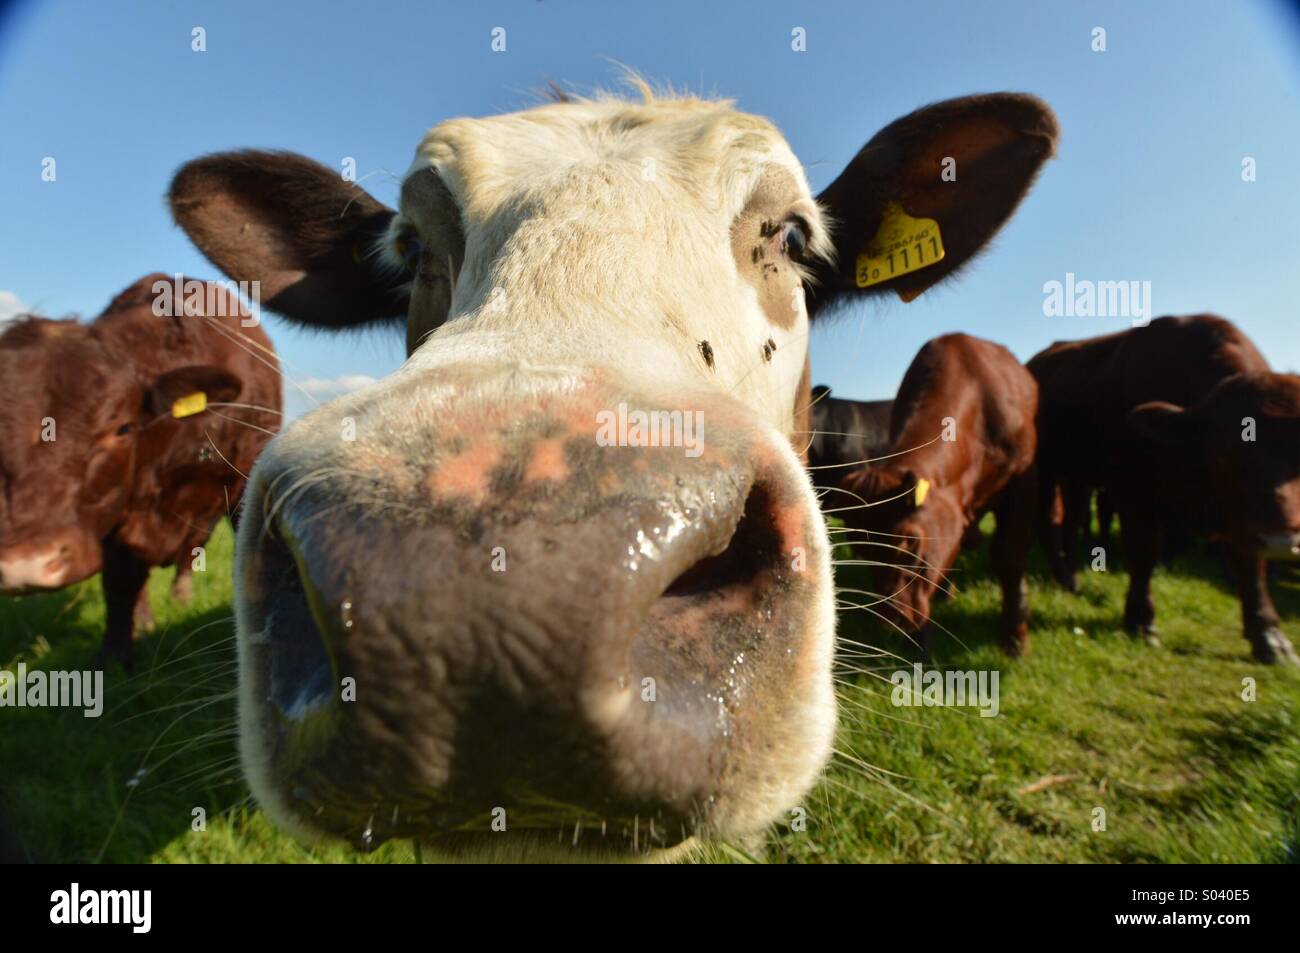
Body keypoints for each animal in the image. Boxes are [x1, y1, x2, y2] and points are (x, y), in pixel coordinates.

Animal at [0, 271, 282, 665]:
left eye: (122, 428)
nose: (26, 564)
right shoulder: (112, 512)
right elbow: (121, 582)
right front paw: (116, 655)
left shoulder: (244, 486)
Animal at [837, 332, 1040, 655]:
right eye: (861, 550)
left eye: (910, 543)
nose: (895, 618)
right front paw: (919, 646)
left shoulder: (1022, 478)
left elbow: (1009, 557)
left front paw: (1014, 635)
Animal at [1029, 315, 1294, 665]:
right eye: (1224, 455)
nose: (1282, 541)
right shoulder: (1133, 490)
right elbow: (1144, 552)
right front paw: (1141, 620)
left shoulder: (1241, 519)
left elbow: (1252, 568)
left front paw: (1269, 636)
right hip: (1045, 474)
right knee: (1049, 523)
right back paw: (1063, 576)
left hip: (1077, 479)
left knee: (1070, 522)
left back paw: (1071, 578)